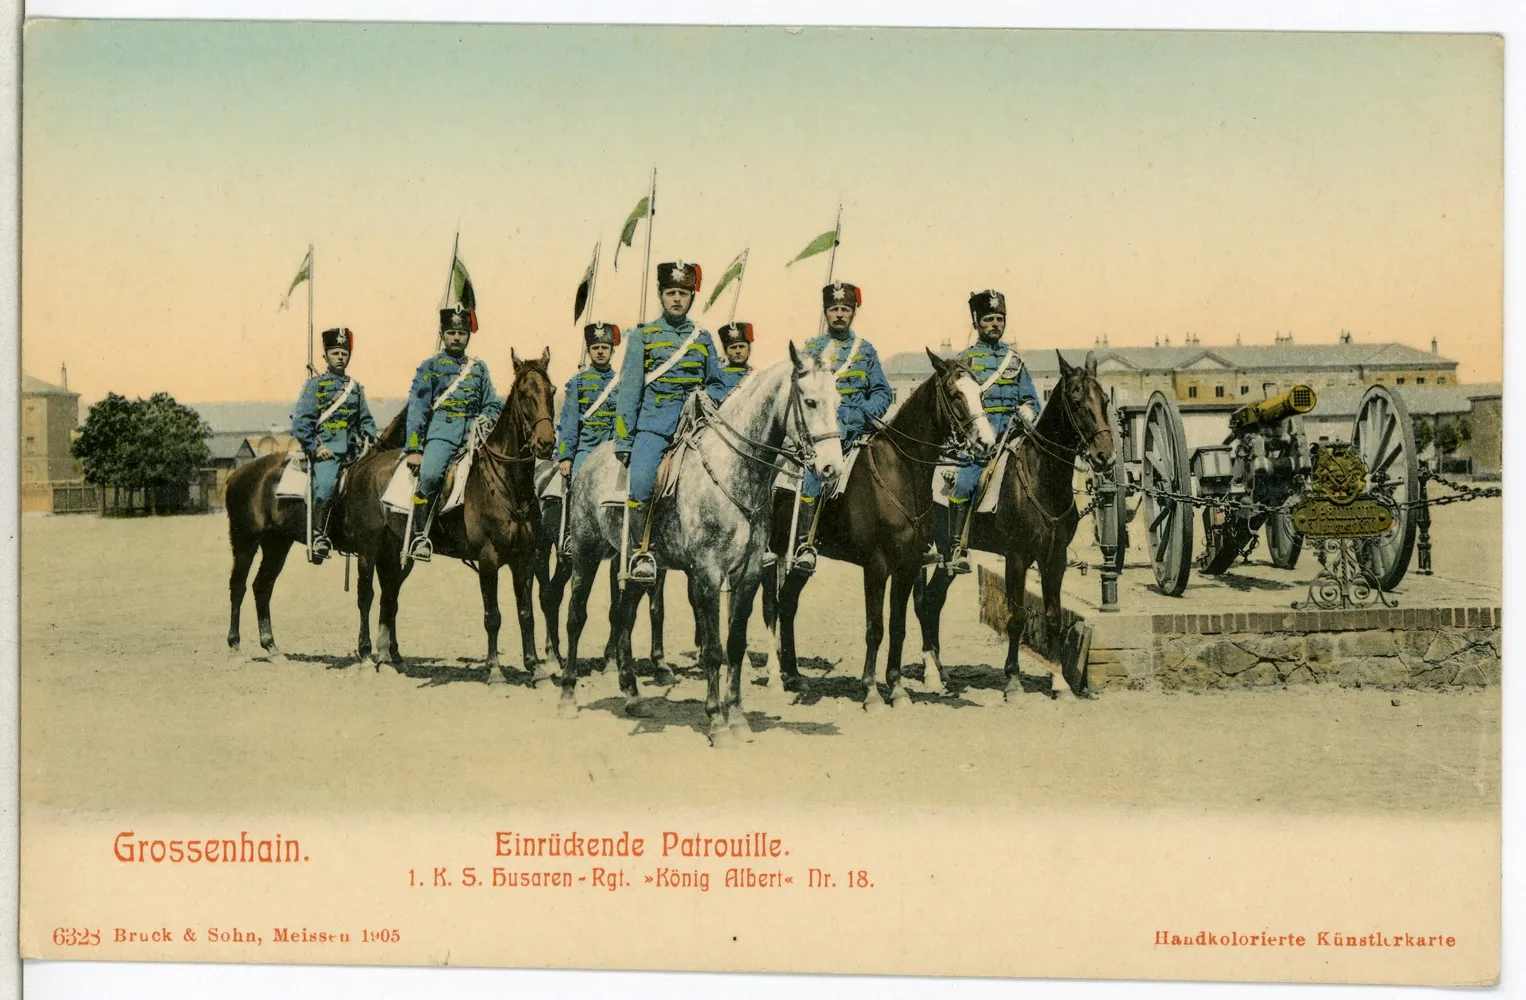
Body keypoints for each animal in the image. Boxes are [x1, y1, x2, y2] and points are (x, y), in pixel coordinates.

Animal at [337, 348, 558, 683]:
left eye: (552, 391)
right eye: (523, 394)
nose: (545, 443)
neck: (508, 484)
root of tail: (364, 464)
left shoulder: (524, 558)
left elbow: (526, 614)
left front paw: (535, 668)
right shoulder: (488, 559)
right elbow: (493, 616)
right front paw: (494, 670)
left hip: (394, 552)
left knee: (389, 597)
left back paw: (391, 660)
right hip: (367, 547)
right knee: (366, 596)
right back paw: (366, 657)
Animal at [561, 348, 842, 748]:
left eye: (838, 400)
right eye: (810, 401)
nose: (833, 468)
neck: (733, 472)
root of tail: (588, 461)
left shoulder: (748, 574)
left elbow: (735, 644)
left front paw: (737, 717)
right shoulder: (708, 574)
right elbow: (712, 650)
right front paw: (717, 722)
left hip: (633, 562)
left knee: (624, 616)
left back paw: (632, 694)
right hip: (586, 551)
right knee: (576, 616)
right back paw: (568, 695)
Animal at [763, 352, 1001, 711]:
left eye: (981, 394)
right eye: (955, 394)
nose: (987, 444)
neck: (901, 471)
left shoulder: (908, 565)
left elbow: (898, 626)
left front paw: (898, 688)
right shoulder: (876, 565)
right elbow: (875, 627)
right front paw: (871, 691)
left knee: (787, 604)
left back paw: (793, 675)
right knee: (770, 606)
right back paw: (774, 678)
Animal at [909, 352, 1117, 705]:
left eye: (1104, 399)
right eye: (1076, 401)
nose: (1105, 456)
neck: (1042, 478)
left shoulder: (1054, 560)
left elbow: (1053, 617)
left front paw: (1060, 681)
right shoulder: (1017, 557)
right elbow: (1017, 618)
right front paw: (1013, 681)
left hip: (945, 560)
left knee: (933, 604)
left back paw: (940, 670)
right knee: (924, 604)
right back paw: (930, 674)